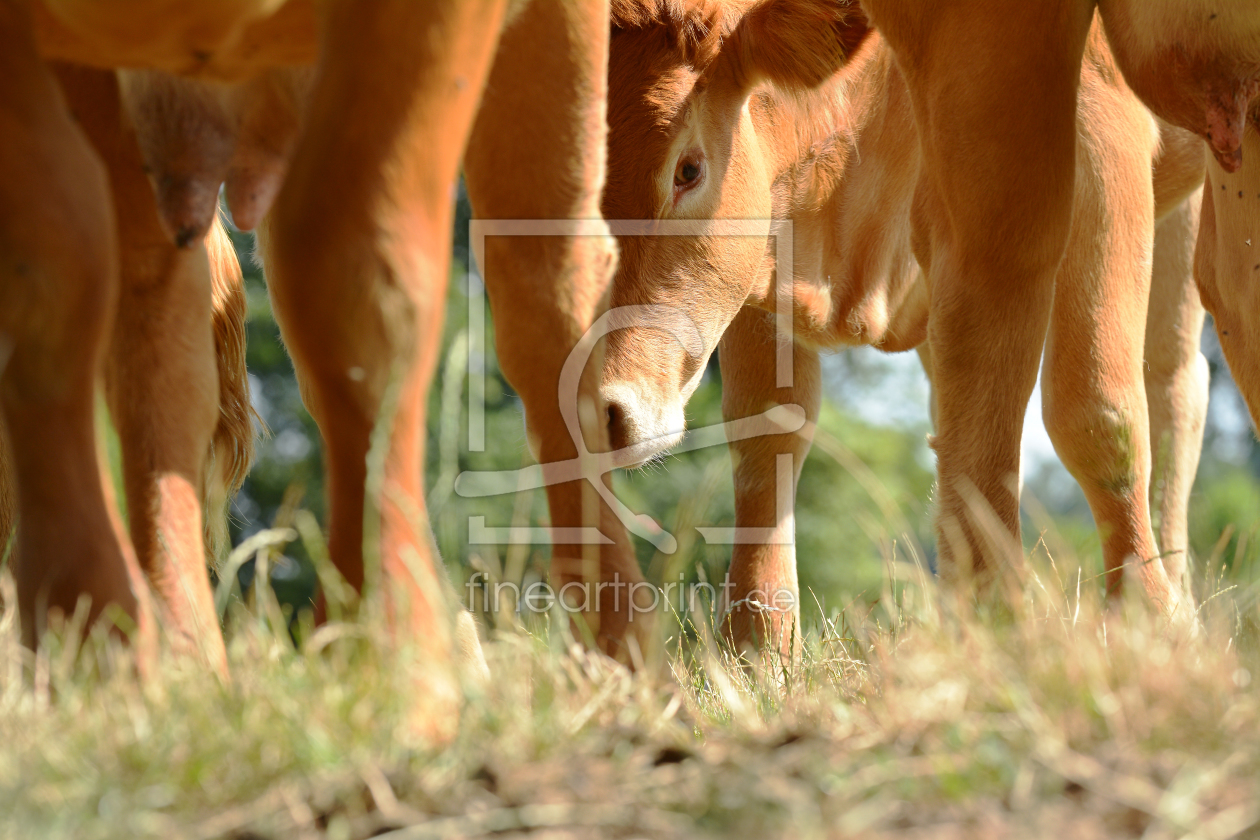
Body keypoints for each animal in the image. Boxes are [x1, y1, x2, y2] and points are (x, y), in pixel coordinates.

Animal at [599, 0, 1209, 654]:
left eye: (688, 170)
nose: (604, 407)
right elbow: (768, 430)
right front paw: (758, 647)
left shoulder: (1097, 131)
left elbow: (1097, 414)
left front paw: (1148, 622)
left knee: (1171, 385)